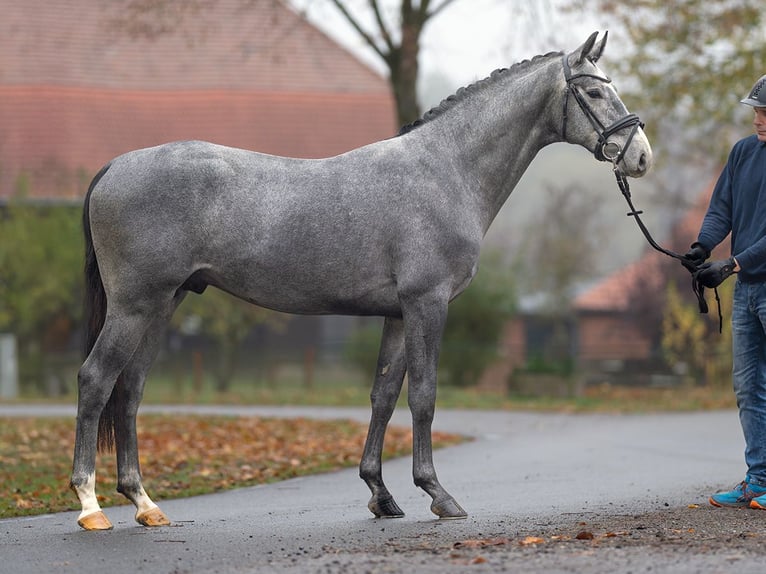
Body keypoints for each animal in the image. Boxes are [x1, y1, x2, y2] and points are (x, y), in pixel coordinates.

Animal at [70, 31, 656, 532]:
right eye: (593, 90)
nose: (641, 156)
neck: (445, 170)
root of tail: (114, 167)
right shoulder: (427, 304)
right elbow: (423, 396)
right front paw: (438, 494)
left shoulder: (397, 313)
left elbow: (383, 395)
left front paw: (382, 494)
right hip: (134, 306)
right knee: (97, 379)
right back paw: (90, 505)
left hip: (162, 305)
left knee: (130, 388)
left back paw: (144, 504)